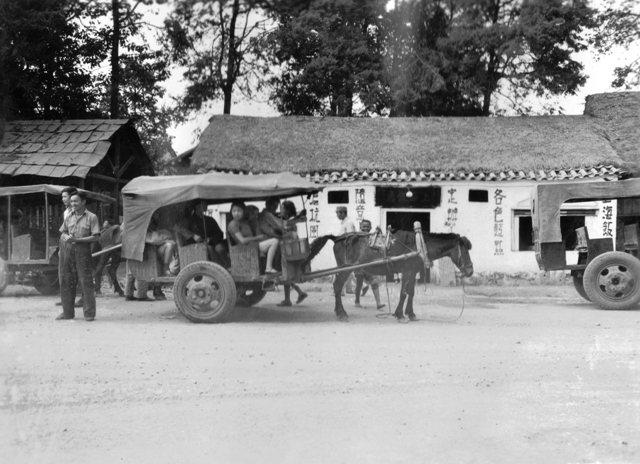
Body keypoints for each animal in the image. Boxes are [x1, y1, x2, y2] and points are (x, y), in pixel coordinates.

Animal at [302, 230, 472, 320]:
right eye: (464, 251)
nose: (470, 271)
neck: (418, 246)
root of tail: (337, 238)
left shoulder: (413, 272)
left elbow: (411, 293)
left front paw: (411, 313)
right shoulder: (407, 271)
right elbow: (404, 293)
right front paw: (399, 314)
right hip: (346, 269)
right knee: (337, 287)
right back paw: (341, 312)